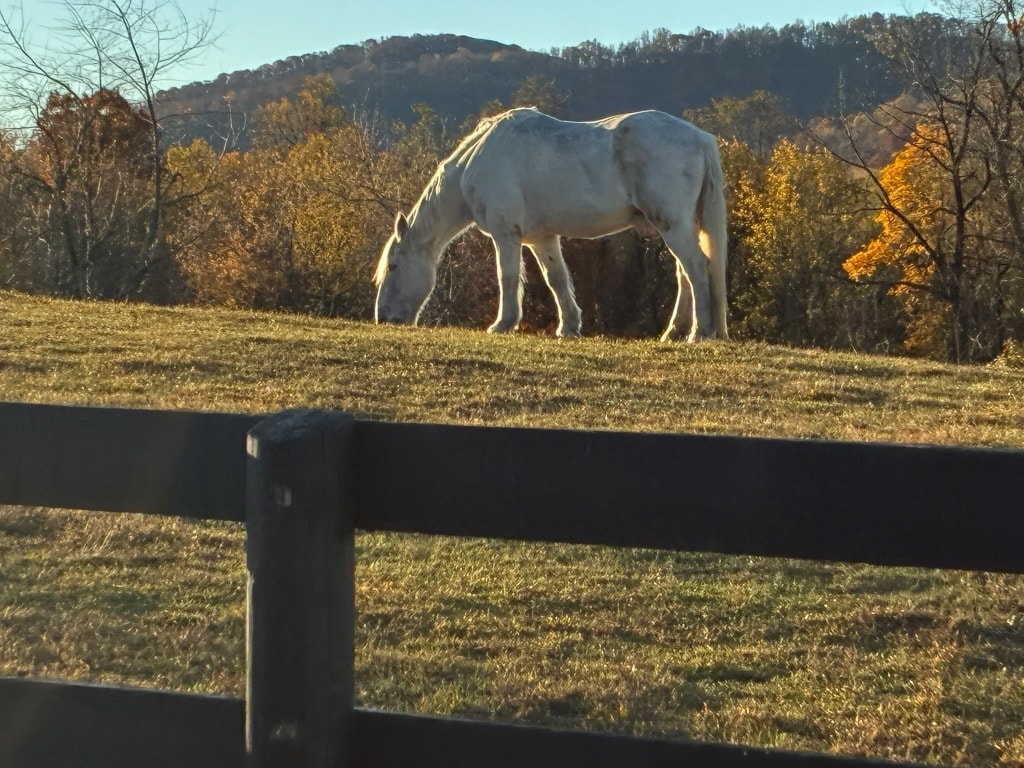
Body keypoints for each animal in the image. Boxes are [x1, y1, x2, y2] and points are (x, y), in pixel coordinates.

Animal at [374, 107, 728, 341]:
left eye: (393, 266)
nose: (383, 319)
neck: (478, 158)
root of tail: (700, 138)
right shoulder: (541, 238)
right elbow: (556, 279)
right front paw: (569, 327)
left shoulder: (506, 235)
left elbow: (508, 277)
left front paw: (503, 324)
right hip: (679, 226)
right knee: (685, 274)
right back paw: (674, 332)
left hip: (673, 226)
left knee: (697, 267)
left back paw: (699, 332)